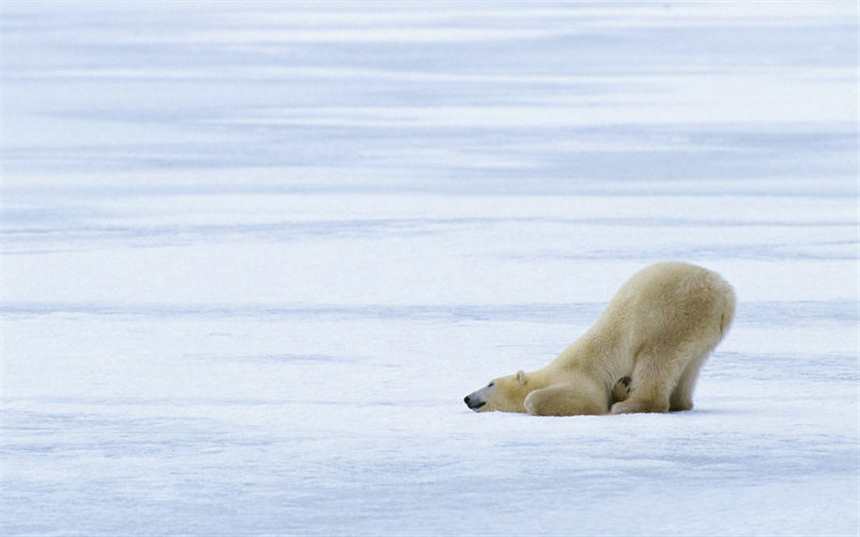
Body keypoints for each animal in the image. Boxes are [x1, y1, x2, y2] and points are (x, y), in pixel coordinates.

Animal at [466, 262, 736, 416]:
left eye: (490, 383)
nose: (467, 397)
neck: (548, 374)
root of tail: (724, 293)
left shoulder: (581, 377)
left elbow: (570, 399)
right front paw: (621, 388)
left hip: (670, 316)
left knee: (657, 359)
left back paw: (632, 405)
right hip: (703, 331)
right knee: (690, 365)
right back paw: (679, 402)